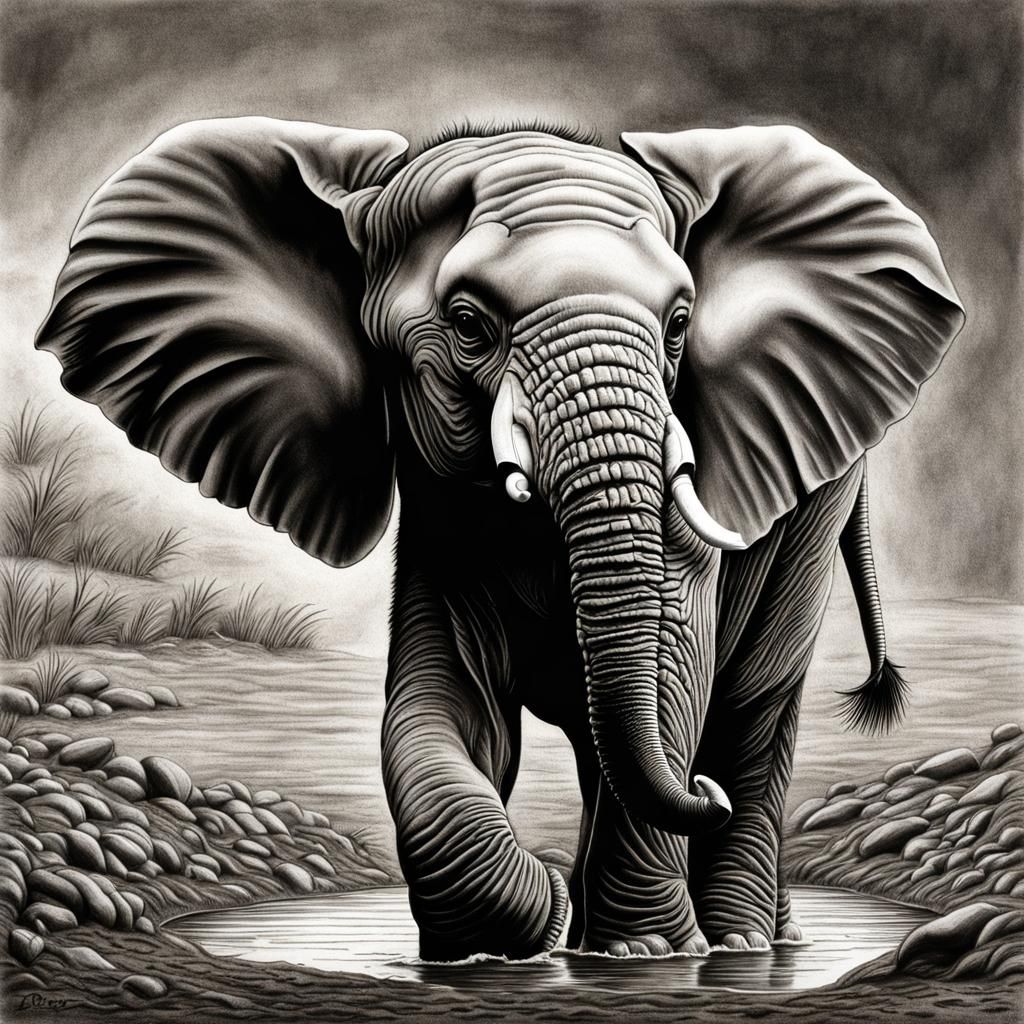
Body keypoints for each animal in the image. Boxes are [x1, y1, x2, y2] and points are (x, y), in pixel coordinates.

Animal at [36, 116, 964, 960]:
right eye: (469, 324)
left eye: (679, 326)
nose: (698, 790)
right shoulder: (443, 516)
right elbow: (436, 709)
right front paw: (510, 937)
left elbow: (674, 668)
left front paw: (641, 956)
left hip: (816, 509)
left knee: (750, 703)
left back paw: (739, 942)